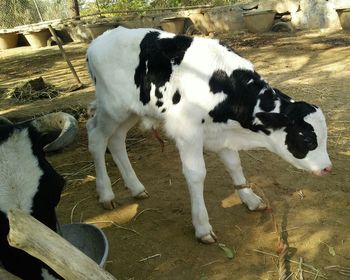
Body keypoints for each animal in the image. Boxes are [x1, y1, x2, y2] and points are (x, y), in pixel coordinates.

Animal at [86, 27, 332, 244]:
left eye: (324, 138)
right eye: (308, 140)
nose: (327, 168)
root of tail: (99, 40)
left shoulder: (221, 133)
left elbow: (235, 165)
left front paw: (250, 199)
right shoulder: (187, 131)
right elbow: (196, 175)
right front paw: (202, 227)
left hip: (131, 111)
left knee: (116, 140)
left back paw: (136, 188)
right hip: (112, 109)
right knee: (96, 136)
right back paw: (106, 194)